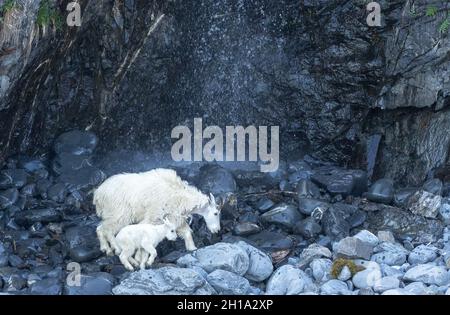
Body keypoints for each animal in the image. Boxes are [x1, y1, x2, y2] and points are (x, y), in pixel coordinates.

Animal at [93, 169, 221, 256]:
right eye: (216, 213)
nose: (217, 230)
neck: (180, 195)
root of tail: (98, 194)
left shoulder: (175, 216)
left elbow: (186, 232)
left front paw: (192, 248)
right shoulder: (155, 215)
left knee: (101, 228)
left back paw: (106, 249)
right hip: (119, 212)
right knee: (108, 229)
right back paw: (115, 249)